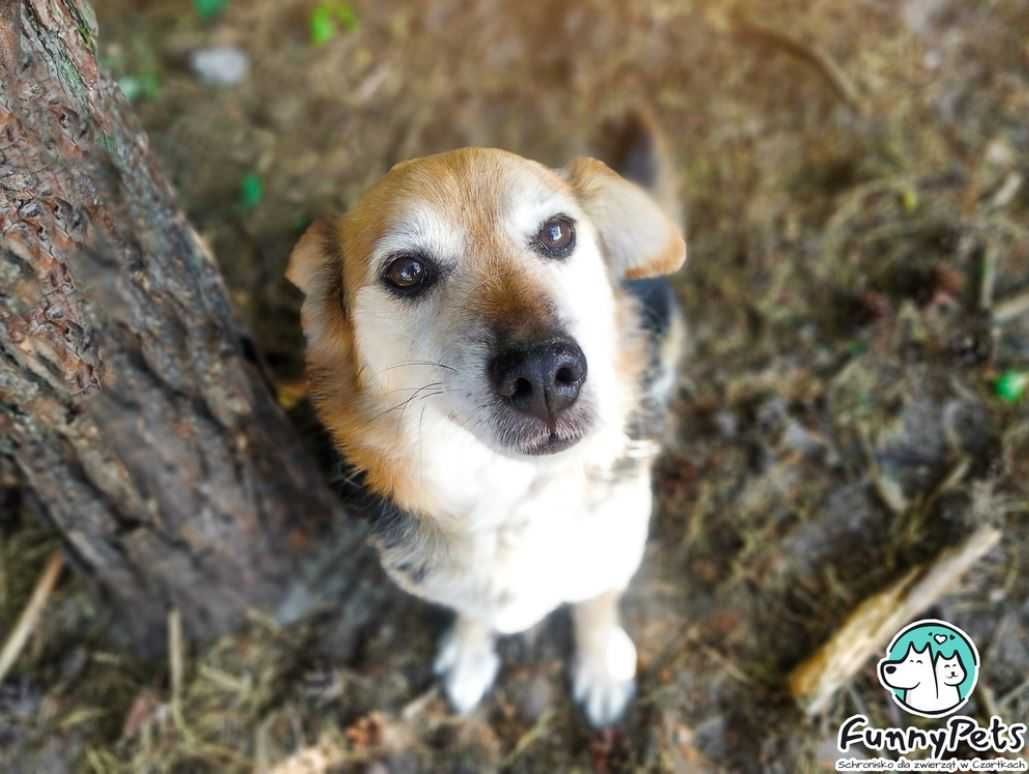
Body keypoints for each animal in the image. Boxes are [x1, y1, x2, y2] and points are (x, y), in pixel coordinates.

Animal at [286, 113, 687, 724]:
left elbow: (597, 603)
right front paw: (470, 655)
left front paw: (602, 666)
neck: (512, 495)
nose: (544, 373)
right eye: (407, 271)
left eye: (557, 233)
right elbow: (471, 611)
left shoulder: (614, 548)